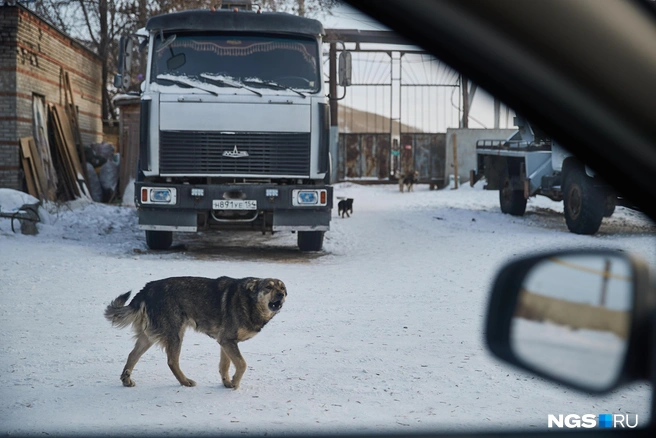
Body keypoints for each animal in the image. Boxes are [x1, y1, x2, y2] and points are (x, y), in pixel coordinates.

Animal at [104, 278, 284, 390]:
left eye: (283, 288)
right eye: (268, 287)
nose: (281, 294)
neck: (249, 300)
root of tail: (147, 288)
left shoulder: (225, 341)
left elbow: (224, 365)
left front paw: (227, 382)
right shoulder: (228, 341)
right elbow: (242, 364)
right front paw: (234, 382)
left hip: (148, 337)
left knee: (132, 355)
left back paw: (126, 379)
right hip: (175, 334)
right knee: (172, 361)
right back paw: (185, 382)